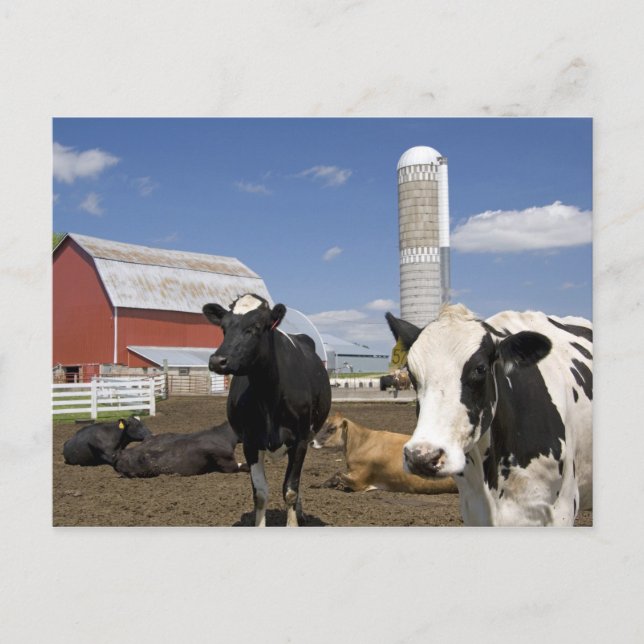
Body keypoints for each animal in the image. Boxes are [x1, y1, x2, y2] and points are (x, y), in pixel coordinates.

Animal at [203, 293, 332, 527]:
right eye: (224, 328)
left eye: (256, 327)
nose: (217, 361)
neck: (268, 396)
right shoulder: (250, 443)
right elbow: (260, 493)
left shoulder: (300, 441)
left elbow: (290, 490)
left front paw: (293, 523)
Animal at [310, 412, 457, 494]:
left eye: (332, 428)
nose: (312, 442)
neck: (362, 443)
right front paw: (318, 484)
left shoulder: (359, 481)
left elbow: (338, 474)